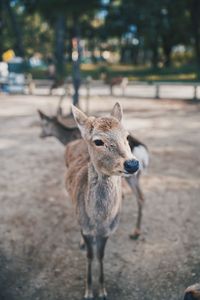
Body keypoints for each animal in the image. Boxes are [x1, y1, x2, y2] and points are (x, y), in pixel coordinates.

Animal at [65, 102, 139, 298]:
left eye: (127, 136)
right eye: (98, 141)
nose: (132, 163)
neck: (98, 221)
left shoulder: (108, 231)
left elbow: (101, 255)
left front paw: (103, 291)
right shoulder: (85, 227)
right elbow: (90, 256)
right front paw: (89, 291)